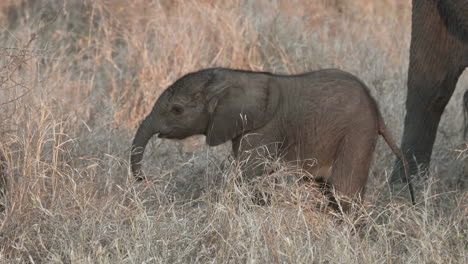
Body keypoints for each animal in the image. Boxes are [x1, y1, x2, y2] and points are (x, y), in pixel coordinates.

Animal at [130, 68, 414, 212]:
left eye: (177, 110)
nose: (143, 179)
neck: (233, 77)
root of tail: (377, 111)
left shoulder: (264, 128)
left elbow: (246, 175)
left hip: (356, 133)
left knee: (343, 193)